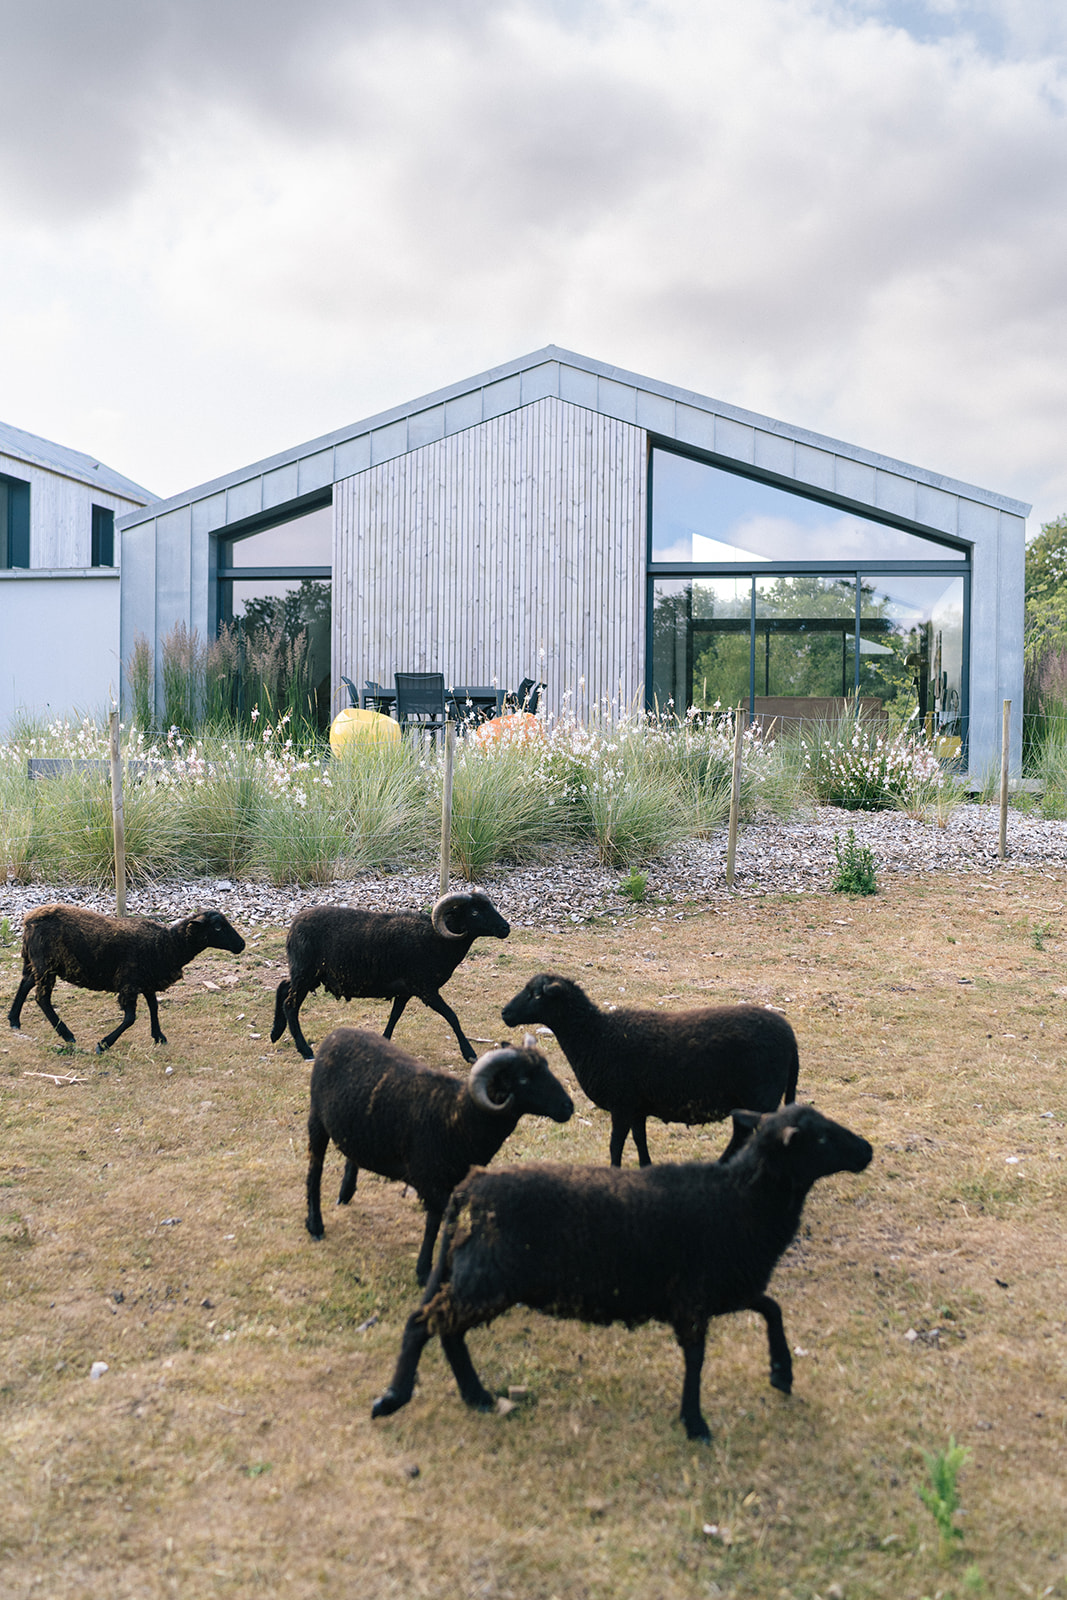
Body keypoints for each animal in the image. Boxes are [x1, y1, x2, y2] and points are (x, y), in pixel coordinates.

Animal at [8, 908, 246, 1056]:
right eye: (217, 927)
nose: (241, 945)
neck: (168, 944)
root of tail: (29, 920)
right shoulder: (129, 983)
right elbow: (130, 1018)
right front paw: (103, 1044)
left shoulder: (146, 980)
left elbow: (154, 1007)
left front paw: (159, 1036)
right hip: (45, 964)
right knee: (42, 998)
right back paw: (67, 1034)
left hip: (37, 962)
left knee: (26, 983)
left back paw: (14, 1020)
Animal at [273, 889, 511, 1062]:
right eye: (474, 913)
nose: (505, 928)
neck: (436, 939)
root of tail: (293, 927)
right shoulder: (426, 989)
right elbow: (452, 1017)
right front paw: (469, 1054)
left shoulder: (405, 991)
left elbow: (394, 1016)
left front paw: (384, 1042)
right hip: (305, 973)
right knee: (290, 1004)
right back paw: (305, 1050)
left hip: (305, 974)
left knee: (283, 986)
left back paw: (275, 1032)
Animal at [307, 1030, 575, 1280]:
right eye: (523, 1079)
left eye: (547, 1067)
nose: (568, 1107)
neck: (460, 1117)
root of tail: (337, 1033)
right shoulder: (431, 1182)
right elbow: (435, 1223)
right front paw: (424, 1271)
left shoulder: (457, 1182)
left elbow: (452, 1223)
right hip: (317, 1119)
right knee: (314, 1170)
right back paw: (315, 1225)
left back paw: (346, 1193)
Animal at [375, 1100, 876, 1440]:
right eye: (821, 1137)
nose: (867, 1150)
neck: (740, 1199)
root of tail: (472, 1188)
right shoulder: (694, 1298)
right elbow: (697, 1358)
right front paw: (695, 1423)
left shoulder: (727, 1288)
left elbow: (772, 1308)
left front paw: (781, 1373)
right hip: (486, 1280)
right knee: (424, 1323)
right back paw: (394, 1398)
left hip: (477, 1278)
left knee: (447, 1331)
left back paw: (476, 1397)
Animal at [505, 972, 796, 1164]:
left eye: (536, 994)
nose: (505, 1014)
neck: (596, 1036)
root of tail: (789, 1036)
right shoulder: (637, 1108)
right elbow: (639, 1141)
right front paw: (645, 1167)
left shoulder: (622, 1104)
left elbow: (615, 1146)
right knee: (742, 1135)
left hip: (760, 1097)